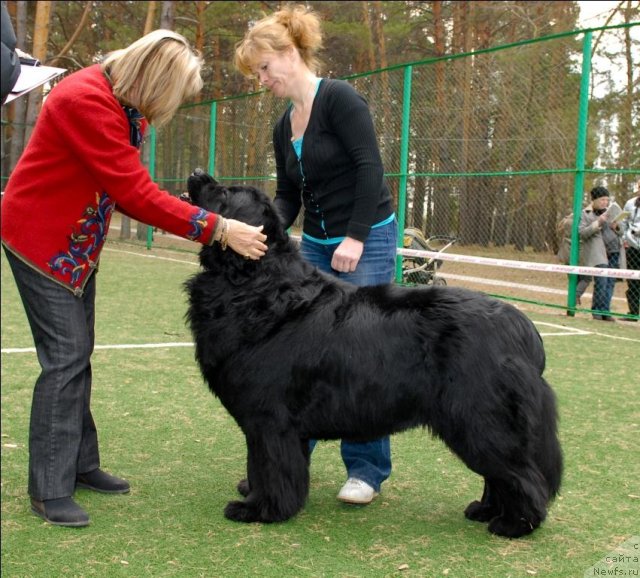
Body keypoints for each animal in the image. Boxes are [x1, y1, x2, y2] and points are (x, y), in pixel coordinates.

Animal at [184, 169, 560, 536]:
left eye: (224, 193)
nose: (197, 172)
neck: (256, 282)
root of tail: (522, 327)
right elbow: (263, 465)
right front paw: (255, 494)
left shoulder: (270, 419)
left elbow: (270, 467)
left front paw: (261, 509)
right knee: (500, 473)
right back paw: (486, 510)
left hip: (478, 417)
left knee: (521, 474)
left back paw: (515, 523)